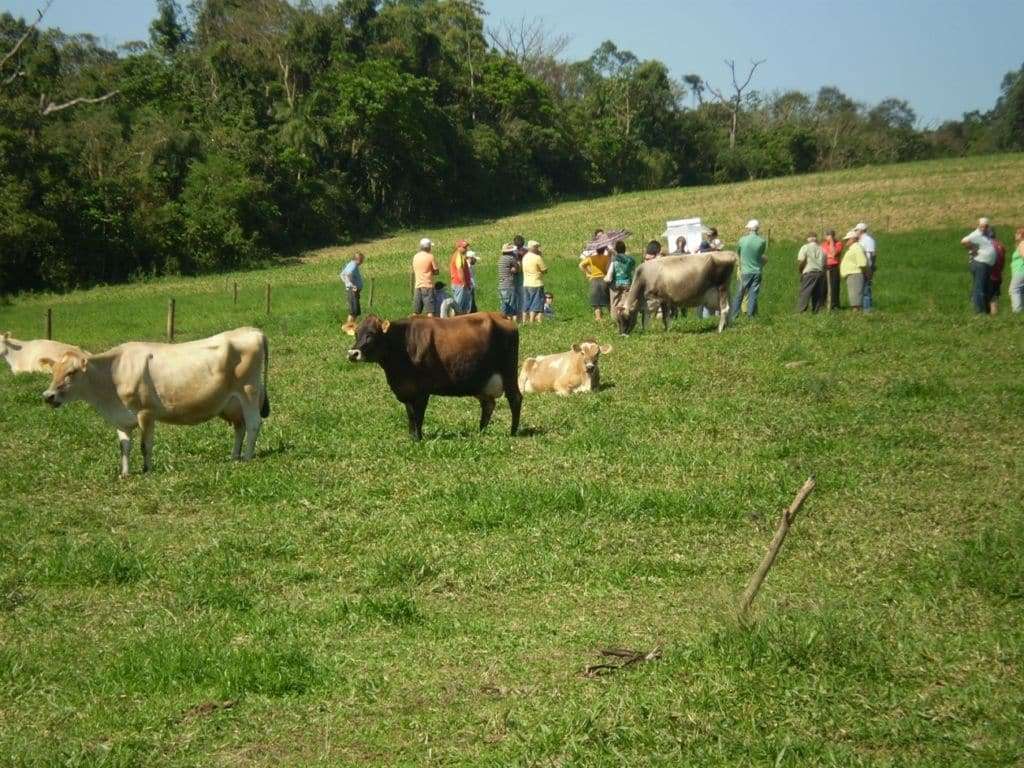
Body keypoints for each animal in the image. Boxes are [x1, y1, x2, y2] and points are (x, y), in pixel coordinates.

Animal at [41, 327, 270, 479]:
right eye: (53, 372)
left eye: (71, 372)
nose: (48, 396)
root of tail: (252, 331)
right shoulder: (121, 419)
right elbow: (124, 447)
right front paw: (125, 474)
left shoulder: (146, 412)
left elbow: (145, 445)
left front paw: (147, 470)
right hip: (232, 404)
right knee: (240, 427)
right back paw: (234, 456)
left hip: (249, 391)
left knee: (253, 424)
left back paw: (247, 457)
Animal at [350, 313, 524, 442]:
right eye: (356, 334)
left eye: (371, 335)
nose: (352, 353)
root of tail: (500, 316)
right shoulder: (406, 390)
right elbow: (410, 415)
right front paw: (412, 437)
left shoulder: (422, 391)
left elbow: (418, 415)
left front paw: (418, 438)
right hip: (481, 382)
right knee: (488, 404)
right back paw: (480, 431)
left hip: (509, 372)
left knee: (515, 398)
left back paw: (513, 432)